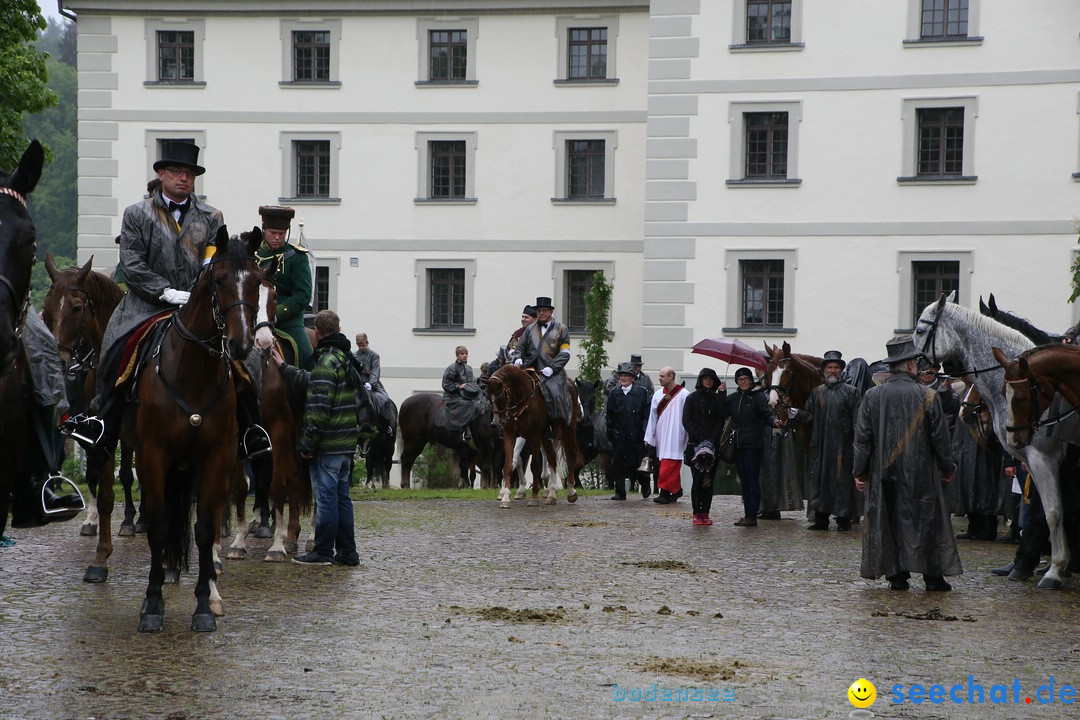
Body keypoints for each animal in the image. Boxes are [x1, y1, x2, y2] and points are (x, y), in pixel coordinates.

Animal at [84, 227, 276, 634]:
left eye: (256, 282)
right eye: (218, 281)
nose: (242, 345)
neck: (193, 372)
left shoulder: (215, 456)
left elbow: (204, 527)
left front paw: (204, 605)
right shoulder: (154, 455)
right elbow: (157, 525)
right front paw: (153, 604)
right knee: (108, 496)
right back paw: (105, 563)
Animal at [483, 367, 583, 507]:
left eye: (501, 396)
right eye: (487, 397)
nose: (497, 422)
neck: (522, 400)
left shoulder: (534, 436)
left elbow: (534, 465)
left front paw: (534, 496)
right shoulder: (510, 434)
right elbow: (510, 463)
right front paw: (506, 496)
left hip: (567, 430)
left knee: (569, 455)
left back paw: (570, 491)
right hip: (546, 437)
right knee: (552, 459)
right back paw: (551, 495)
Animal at [911, 295, 1071, 587]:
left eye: (919, 329)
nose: (919, 369)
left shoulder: (1043, 457)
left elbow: (1052, 512)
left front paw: (1053, 569)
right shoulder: (1033, 460)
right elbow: (1041, 512)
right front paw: (1025, 564)